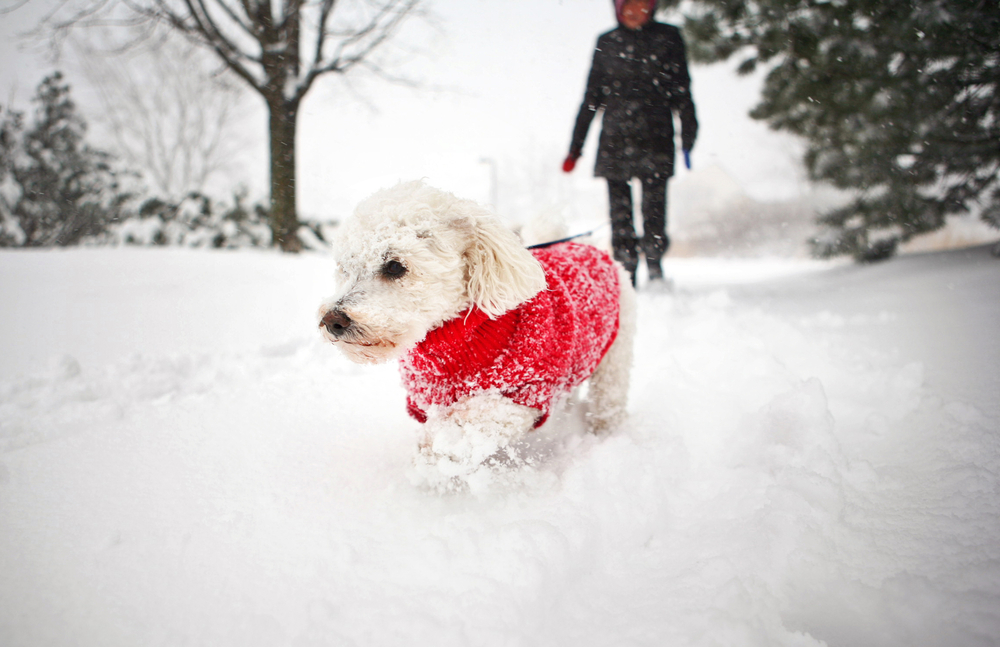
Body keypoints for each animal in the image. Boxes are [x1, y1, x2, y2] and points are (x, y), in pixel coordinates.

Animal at [316, 180, 636, 484]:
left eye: (395, 267)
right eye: (344, 267)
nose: (333, 320)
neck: (453, 341)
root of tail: (587, 245)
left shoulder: (525, 392)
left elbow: (462, 430)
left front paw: (435, 466)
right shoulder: (424, 401)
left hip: (614, 361)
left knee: (608, 401)